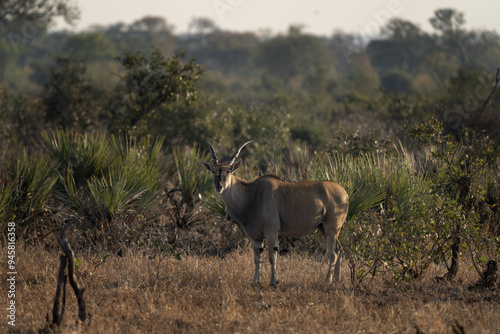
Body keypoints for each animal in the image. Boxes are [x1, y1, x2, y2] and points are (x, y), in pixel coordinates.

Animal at [201, 141, 350, 284]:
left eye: (228, 171)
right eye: (213, 171)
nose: (219, 186)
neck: (251, 195)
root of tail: (345, 193)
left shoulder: (271, 231)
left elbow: (272, 257)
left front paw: (273, 281)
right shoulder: (255, 237)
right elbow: (257, 259)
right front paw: (255, 281)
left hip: (331, 228)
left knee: (333, 254)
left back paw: (327, 281)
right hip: (323, 228)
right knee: (339, 250)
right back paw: (336, 280)